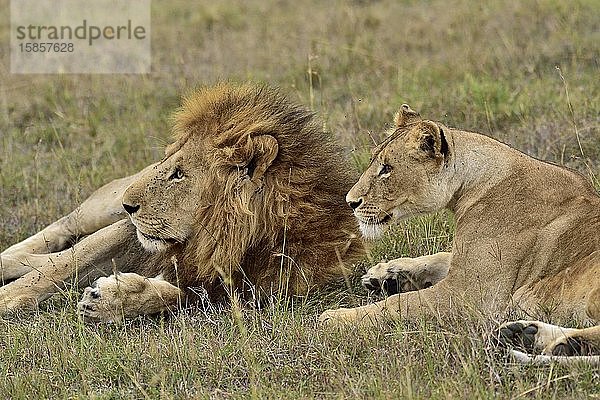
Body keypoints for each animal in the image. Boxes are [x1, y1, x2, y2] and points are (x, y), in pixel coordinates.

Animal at [0, 82, 364, 322]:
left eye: (179, 174)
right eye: (167, 162)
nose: (130, 207)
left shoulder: (237, 287)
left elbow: (173, 294)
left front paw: (114, 298)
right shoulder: (131, 234)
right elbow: (64, 263)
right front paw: (9, 297)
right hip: (103, 206)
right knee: (60, 232)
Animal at [322, 104, 600, 360]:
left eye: (387, 168)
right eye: (374, 162)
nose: (350, 202)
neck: (470, 183)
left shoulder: (469, 295)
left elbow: (398, 303)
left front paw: (334, 318)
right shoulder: (463, 264)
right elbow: (439, 257)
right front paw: (386, 274)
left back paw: (562, 344)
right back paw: (524, 334)